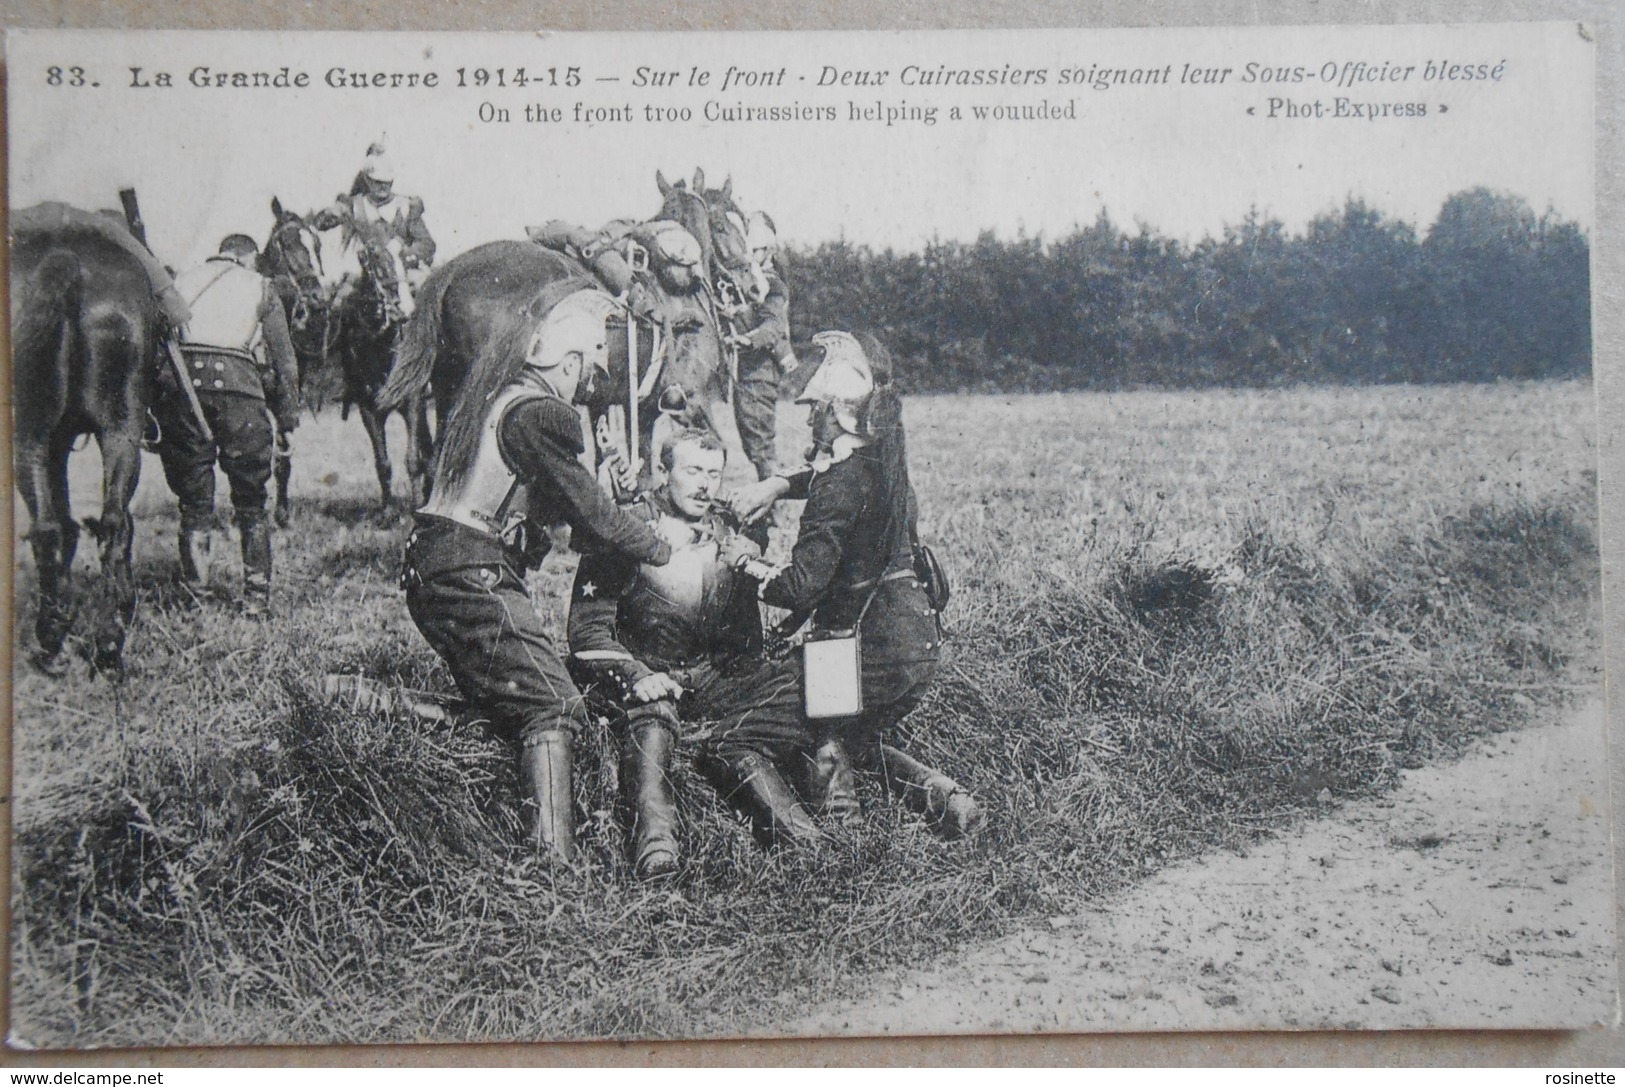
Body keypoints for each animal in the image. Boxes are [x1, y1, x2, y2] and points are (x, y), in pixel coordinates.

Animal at [11, 205, 166, 669]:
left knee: (54, 526)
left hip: (39, 433)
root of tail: (67, 260)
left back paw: (57, 633)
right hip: (120, 429)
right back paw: (107, 634)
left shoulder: (57, 441)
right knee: (109, 522)